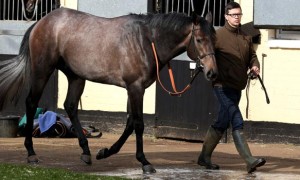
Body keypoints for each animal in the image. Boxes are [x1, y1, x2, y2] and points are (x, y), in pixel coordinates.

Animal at [0, 8, 217, 173]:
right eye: (199, 39)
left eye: (214, 39)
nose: (212, 73)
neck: (147, 41)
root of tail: (42, 22)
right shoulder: (135, 88)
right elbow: (138, 124)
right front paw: (145, 162)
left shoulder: (133, 89)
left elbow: (130, 123)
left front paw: (104, 152)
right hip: (42, 71)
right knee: (31, 103)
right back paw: (31, 154)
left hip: (76, 77)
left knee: (70, 106)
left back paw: (86, 152)